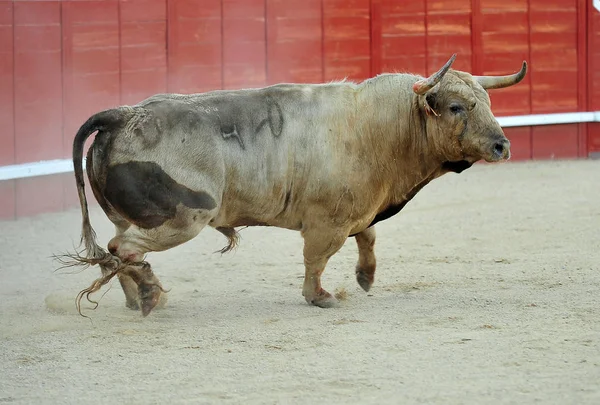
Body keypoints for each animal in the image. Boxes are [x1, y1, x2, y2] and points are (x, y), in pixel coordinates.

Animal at [61, 54, 528, 316]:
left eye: (487, 101)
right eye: (456, 107)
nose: (502, 145)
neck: (374, 126)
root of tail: (122, 114)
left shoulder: (357, 208)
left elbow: (368, 236)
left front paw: (365, 277)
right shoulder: (326, 221)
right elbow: (316, 259)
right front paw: (319, 297)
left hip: (134, 216)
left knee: (114, 251)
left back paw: (137, 297)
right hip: (182, 218)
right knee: (122, 249)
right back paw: (150, 294)